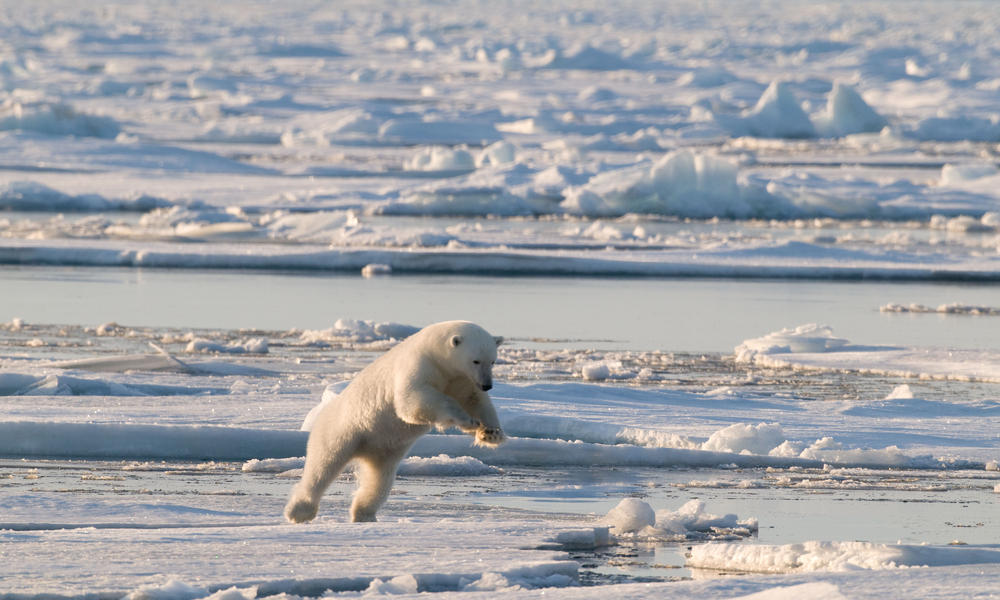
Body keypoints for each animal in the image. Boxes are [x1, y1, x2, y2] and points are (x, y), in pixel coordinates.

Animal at [284, 322, 504, 524]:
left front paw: (491, 433)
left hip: (385, 450)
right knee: (323, 466)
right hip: (343, 429)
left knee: (379, 481)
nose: (488, 385)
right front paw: (467, 420)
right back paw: (299, 511)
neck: (437, 354)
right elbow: (414, 401)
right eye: (476, 360)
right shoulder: (420, 366)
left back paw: (364, 514)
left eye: (492, 361)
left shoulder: (461, 380)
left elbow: (477, 401)